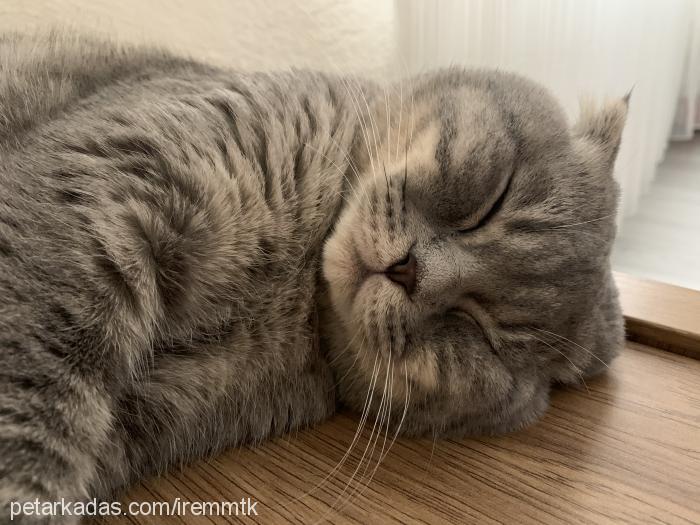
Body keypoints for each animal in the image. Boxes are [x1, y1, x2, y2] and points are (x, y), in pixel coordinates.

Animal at [0, 33, 624, 524]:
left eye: (482, 335)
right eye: (494, 198)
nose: (411, 271)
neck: (294, 282)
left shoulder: (153, 410)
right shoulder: (106, 199)